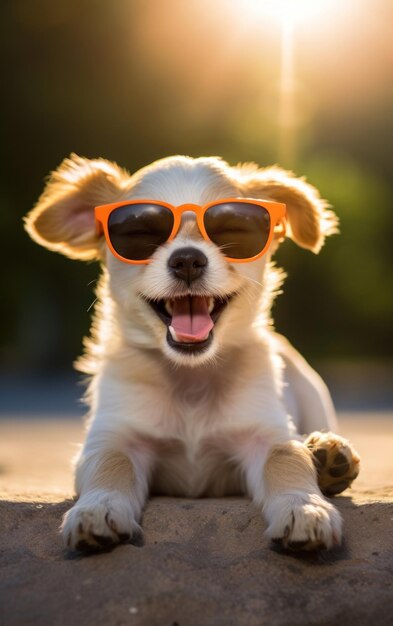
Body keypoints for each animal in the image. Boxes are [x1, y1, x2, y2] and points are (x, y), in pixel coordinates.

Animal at [25, 155, 358, 552]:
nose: (187, 260)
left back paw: (328, 454)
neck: (190, 377)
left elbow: (287, 457)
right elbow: (112, 461)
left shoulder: (264, 432)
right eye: (140, 234)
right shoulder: (115, 434)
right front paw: (98, 507)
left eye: (233, 230)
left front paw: (304, 508)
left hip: (313, 395)